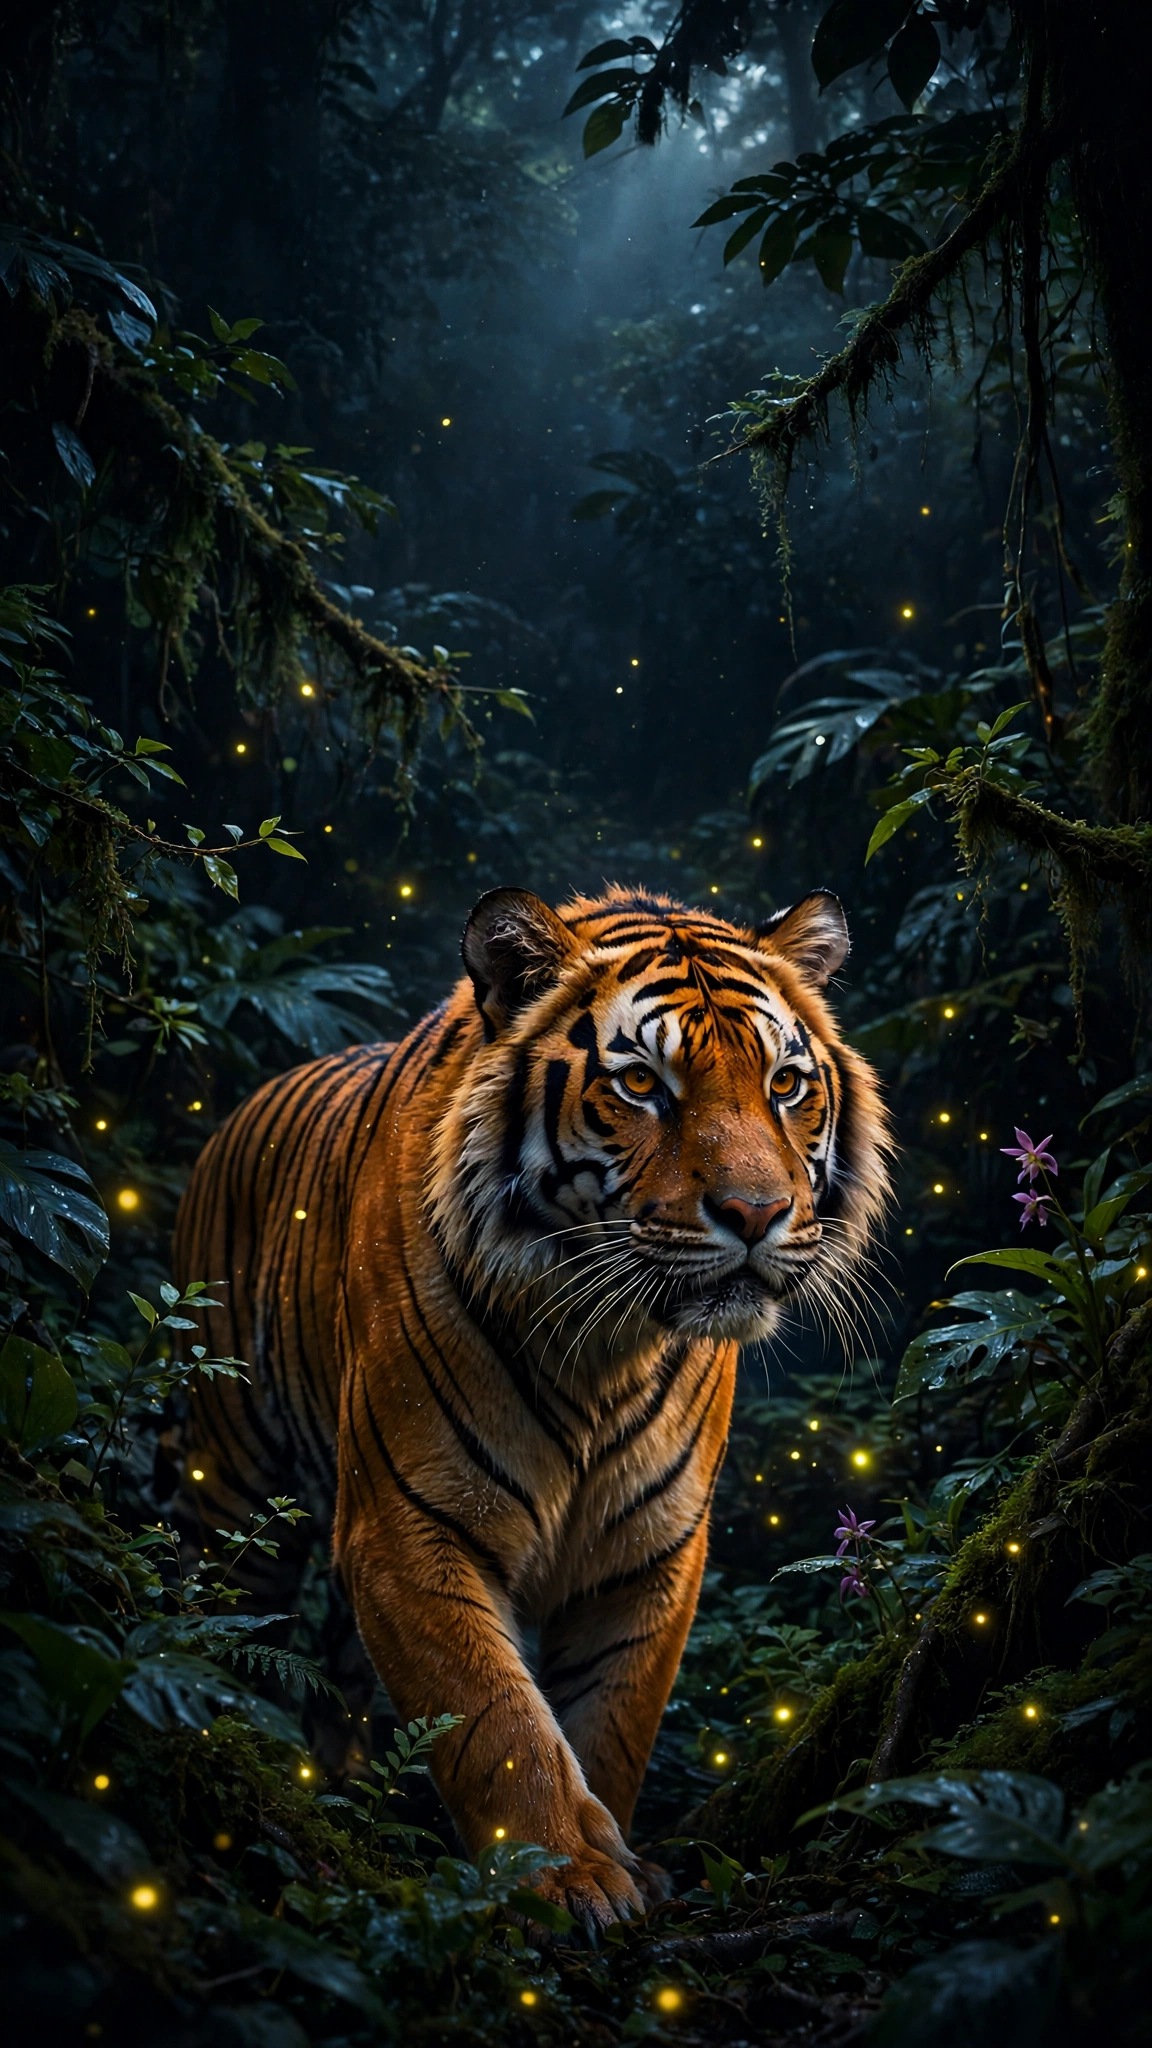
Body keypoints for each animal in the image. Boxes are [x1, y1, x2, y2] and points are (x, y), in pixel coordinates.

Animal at [173, 884, 892, 1930]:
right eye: (642, 1085)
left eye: (787, 1084)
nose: (758, 1215)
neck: (605, 1347)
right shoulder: (410, 1523)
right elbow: (495, 1717)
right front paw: (568, 1875)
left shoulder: (651, 1550)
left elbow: (610, 1720)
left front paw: (620, 1861)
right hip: (231, 1482)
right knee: (225, 1627)